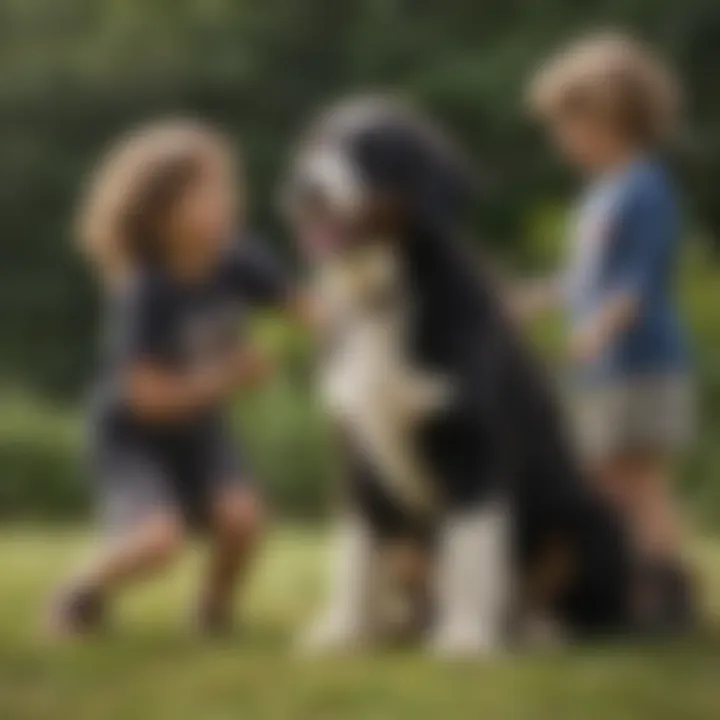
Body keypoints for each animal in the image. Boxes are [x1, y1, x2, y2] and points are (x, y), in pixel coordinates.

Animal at [284, 97, 632, 660]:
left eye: (371, 152)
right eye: (314, 145)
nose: (304, 187)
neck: (385, 297)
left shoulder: (473, 446)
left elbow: (468, 548)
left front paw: (465, 639)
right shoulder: (355, 452)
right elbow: (357, 555)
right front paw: (344, 632)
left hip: (595, 518)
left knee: (587, 608)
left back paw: (540, 631)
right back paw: (404, 626)